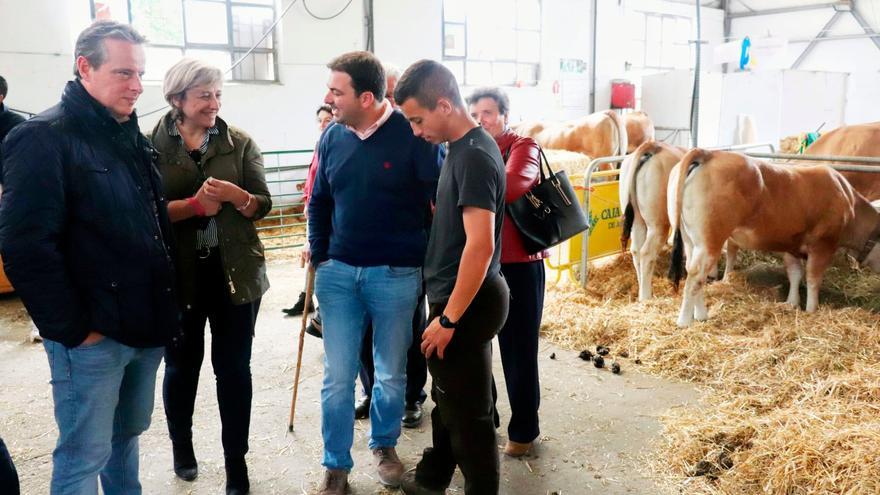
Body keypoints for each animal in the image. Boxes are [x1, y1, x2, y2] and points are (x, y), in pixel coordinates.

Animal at [620, 141, 688, 300]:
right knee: (647, 253)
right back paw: (646, 297)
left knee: (636, 251)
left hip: (637, 220)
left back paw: (642, 289)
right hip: (658, 224)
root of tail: (650, 146)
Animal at [668, 151, 880, 330]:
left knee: (693, 272)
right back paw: (684, 321)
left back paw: (701, 315)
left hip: (691, 240)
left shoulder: (791, 244)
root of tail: (709, 153)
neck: (849, 204)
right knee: (696, 276)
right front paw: (811, 309)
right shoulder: (823, 245)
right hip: (710, 240)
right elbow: (813, 279)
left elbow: (795, 274)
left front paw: (792, 302)